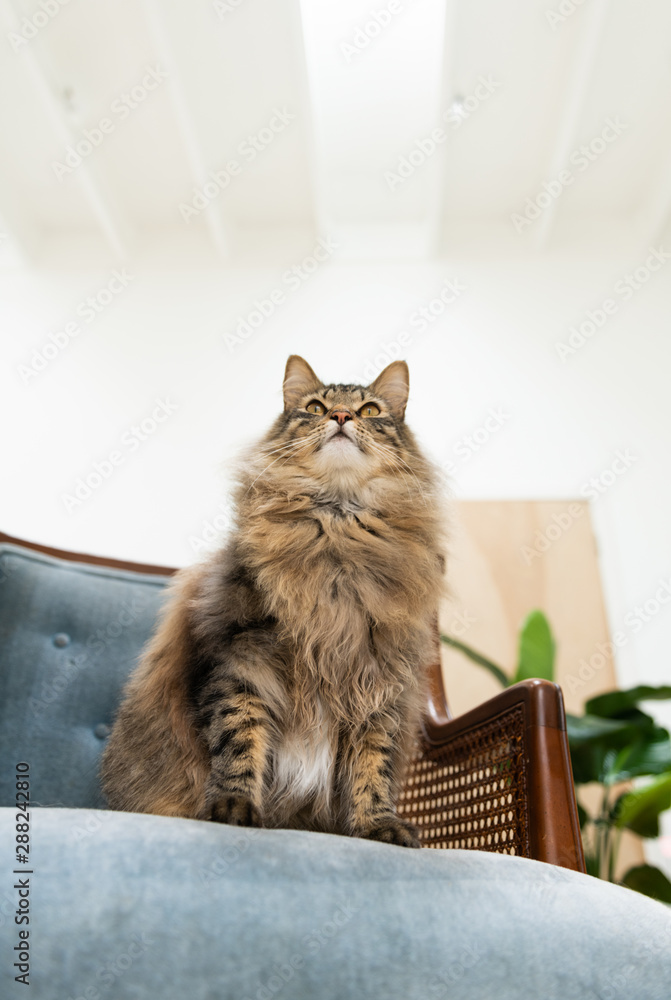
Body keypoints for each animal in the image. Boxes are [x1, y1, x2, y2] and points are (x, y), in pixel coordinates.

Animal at [101, 356, 446, 848]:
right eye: (316, 407)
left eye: (371, 410)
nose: (342, 417)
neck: (336, 534)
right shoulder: (241, 662)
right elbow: (239, 741)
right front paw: (234, 808)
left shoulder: (379, 679)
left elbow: (372, 767)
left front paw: (377, 826)